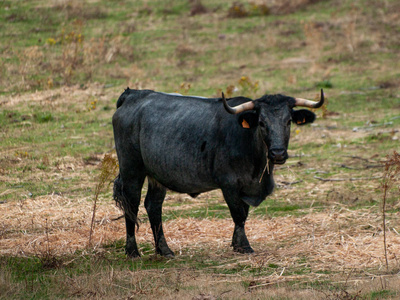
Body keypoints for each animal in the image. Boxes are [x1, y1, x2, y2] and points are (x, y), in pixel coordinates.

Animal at [112, 88, 324, 256]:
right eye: (262, 123)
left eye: (288, 122)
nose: (278, 153)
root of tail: (133, 94)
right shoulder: (229, 184)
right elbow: (238, 214)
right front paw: (244, 246)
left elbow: (244, 214)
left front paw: (237, 244)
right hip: (131, 170)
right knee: (132, 206)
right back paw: (132, 251)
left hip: (156, 175)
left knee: (153, 206)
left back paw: (164, 250)